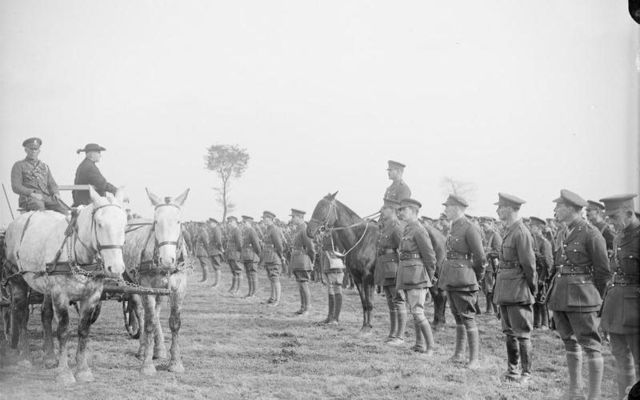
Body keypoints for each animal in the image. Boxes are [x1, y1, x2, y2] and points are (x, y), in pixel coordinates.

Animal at [2, 189, 127, 386]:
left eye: (124, 224)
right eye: (100, 224)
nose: (115, 268)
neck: (78, 254)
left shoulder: (92, 296)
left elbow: (83, 331)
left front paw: (83, 370)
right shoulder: (60, 295)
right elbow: (63, 331)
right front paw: (65, 373)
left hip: (47, 288)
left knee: (45, 315)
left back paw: (49, 357)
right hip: (17, 281)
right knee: (21, 314)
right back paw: (24, 356)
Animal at [121, 188, 189, 376]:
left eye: (178, 221)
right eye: (157, 222)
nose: (167, 260)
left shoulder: (179, 288)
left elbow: (174, 323)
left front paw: (175, 362)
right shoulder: (146, 287)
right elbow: (149, 323)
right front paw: (147, 365)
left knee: (156, 313)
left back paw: (159, 350)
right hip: (133, 284)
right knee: (141, 313)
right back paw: (143, 349)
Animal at [306, 192, 380, 332]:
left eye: (323, 207)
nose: (309, 231)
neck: (360, 240)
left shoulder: (367, 277)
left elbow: (369, 302)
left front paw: (367, 327)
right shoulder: (357, 278)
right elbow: (364, 302)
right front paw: (365, 324)